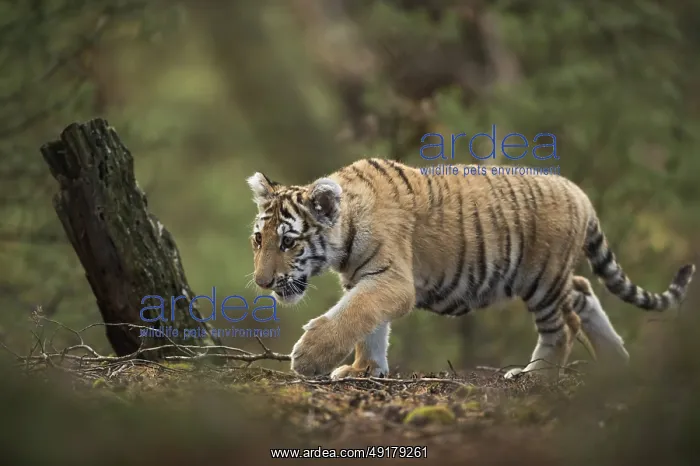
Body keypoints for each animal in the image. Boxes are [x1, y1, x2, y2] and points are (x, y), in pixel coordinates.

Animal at [246, 158, 695, 380]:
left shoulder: (393, 281)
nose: (262, 283)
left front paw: (309, 358)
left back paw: (535, 375)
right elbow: (369, 326)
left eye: (288, 242)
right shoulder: (366, 279)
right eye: (258, 240)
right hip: (553, 278)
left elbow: (353, 315)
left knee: (564, 324)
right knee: (584, 291)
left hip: (541, 279)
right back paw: (617, 365)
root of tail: (579, 192)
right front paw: (364, 370)